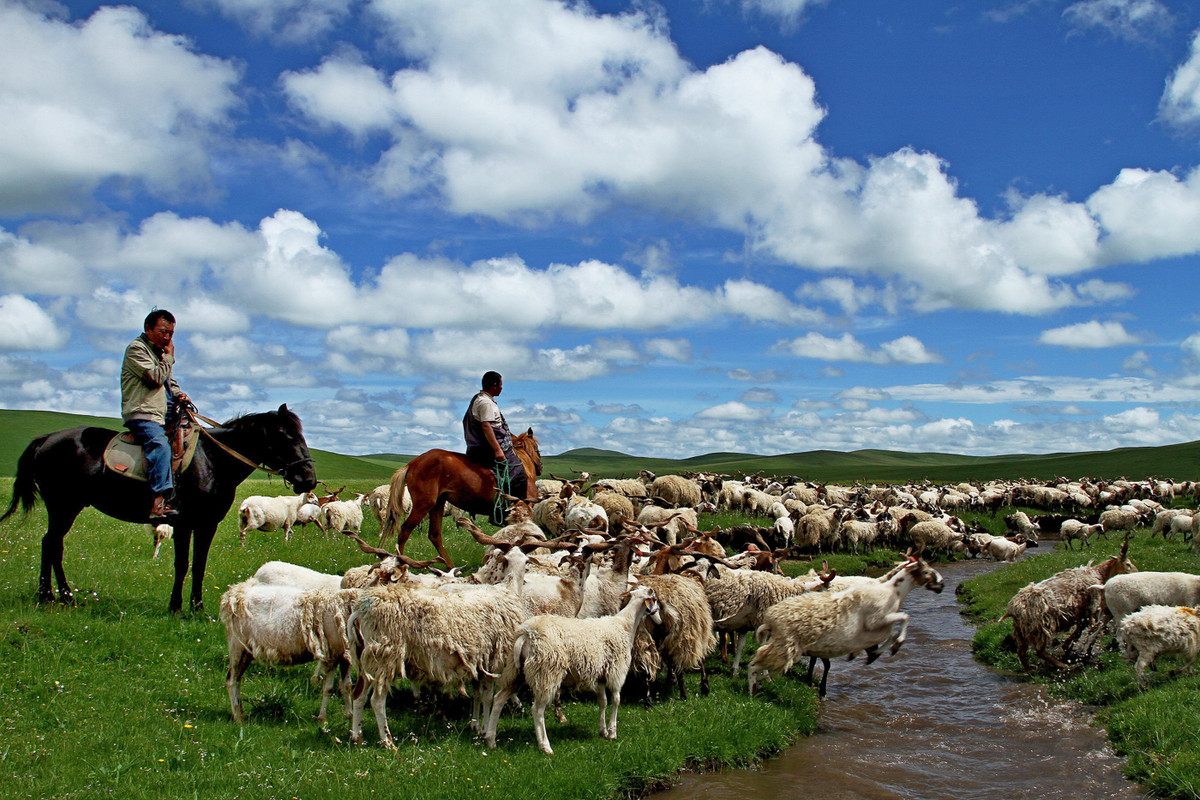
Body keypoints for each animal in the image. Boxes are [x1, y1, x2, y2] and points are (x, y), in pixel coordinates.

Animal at [0, 402, 316, 618]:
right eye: (287, 437)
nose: (308, 479)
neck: (212, 460)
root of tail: (46, 439)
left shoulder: (207, 524)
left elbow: (199, 565)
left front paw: (198, 609)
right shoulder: (184, 524)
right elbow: (182, 564)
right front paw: (176, 608)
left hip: (66, 507)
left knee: (52, 544)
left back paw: (59, 596)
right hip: (63, 506)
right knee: (52, 544)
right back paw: (52, 596)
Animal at [379, 429, 544, 566]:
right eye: (537, 449)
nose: (540, 467)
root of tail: (412, 464)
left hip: (438, 504)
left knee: (434, 534)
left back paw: (450, 566)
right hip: (423, 504)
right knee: (405, 531)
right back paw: (402, 563)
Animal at [482, 585, 662, 753]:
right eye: (654, 599)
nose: (659, 616)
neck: (626, 624)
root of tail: (527, 634)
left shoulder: (600, 675)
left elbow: (602, 702)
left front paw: (602, 730)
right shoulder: (616, 671)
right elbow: (616, 700)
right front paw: (612, 732)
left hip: (517, 671)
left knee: (498, 699)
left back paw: (491, 740)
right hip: (546, 671)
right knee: (537, 710)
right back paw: (545, 745)